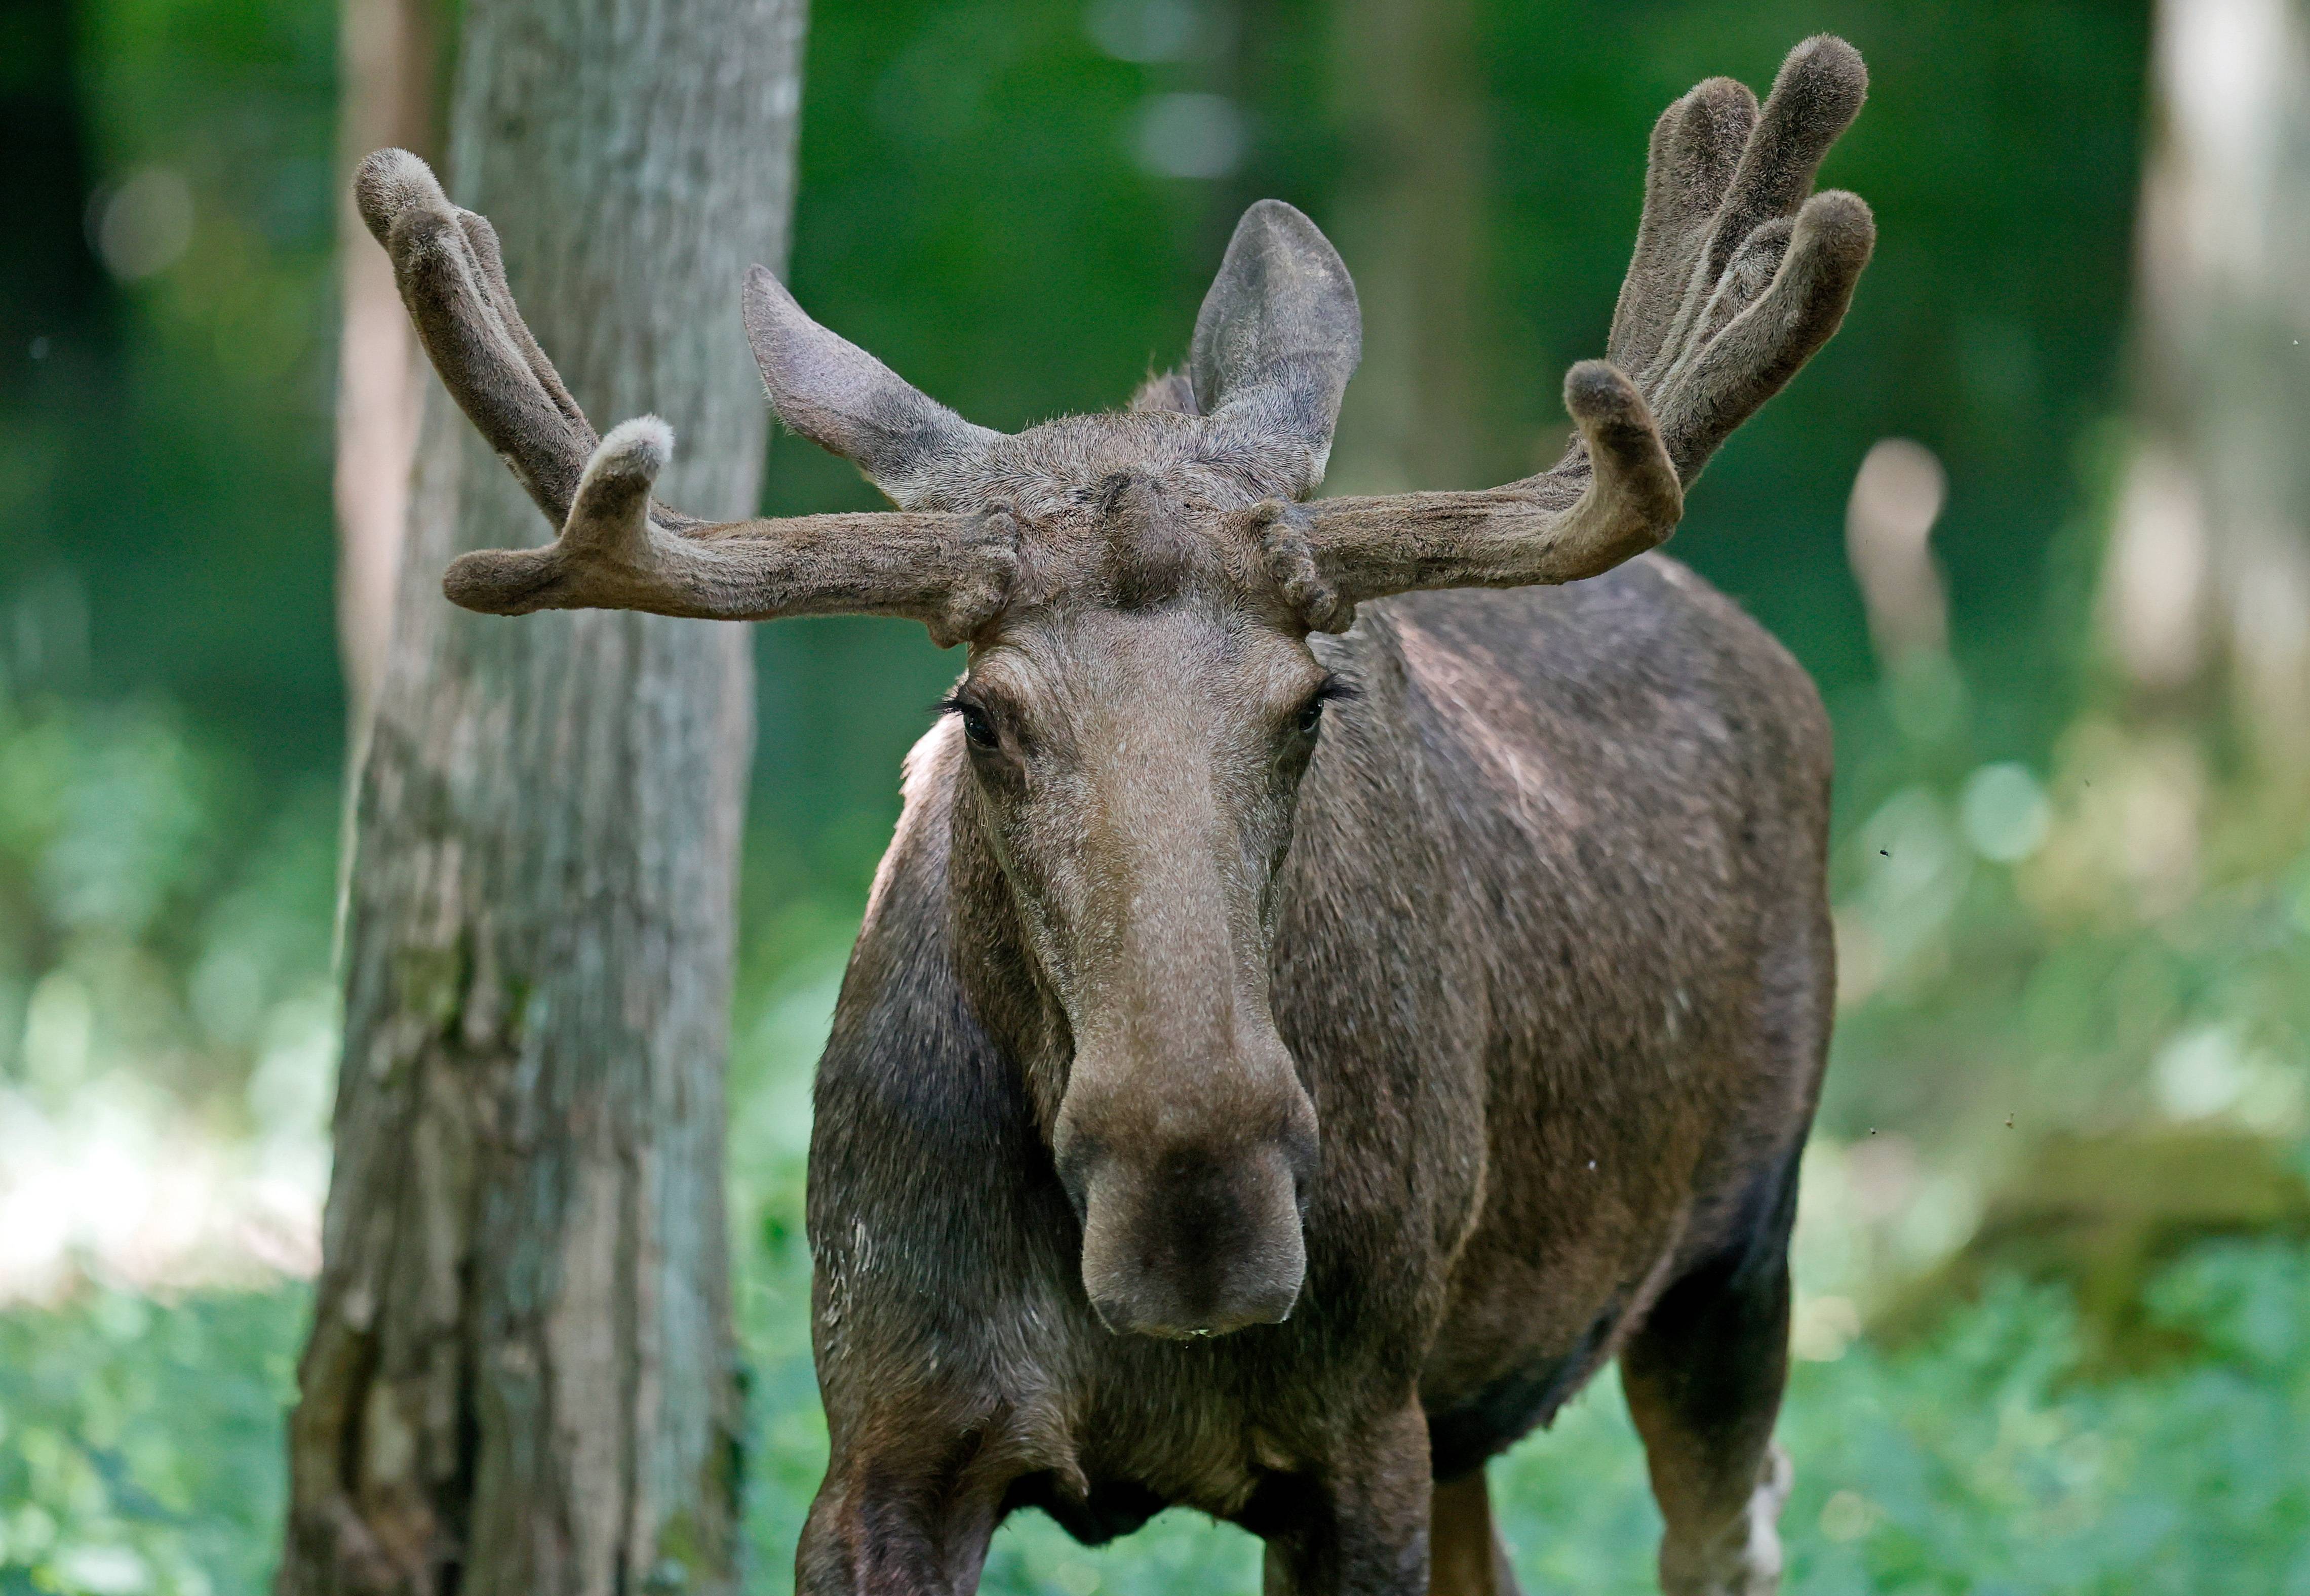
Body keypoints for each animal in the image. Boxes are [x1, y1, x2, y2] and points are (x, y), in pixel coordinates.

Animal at [356, 28, 1875, 1596]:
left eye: (1313, 699)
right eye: (982, 714)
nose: (1196, 1203)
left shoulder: (1359, 1436)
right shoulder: (885, 1433)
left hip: (1733, 1253)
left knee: (1730, 1528)